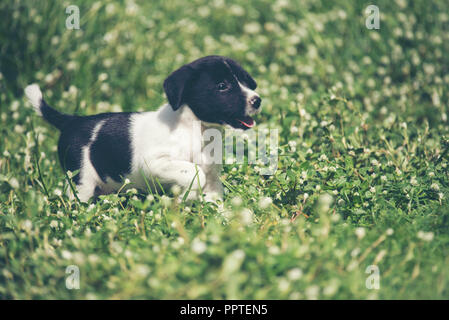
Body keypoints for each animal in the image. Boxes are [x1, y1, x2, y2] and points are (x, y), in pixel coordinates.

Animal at [24, 54, 260, 201]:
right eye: (222, 86)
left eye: (246, 82)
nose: (257, 100)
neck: (195, 130)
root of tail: (71, 121)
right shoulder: (154, 163)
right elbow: (193, 172)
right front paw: (190, 193)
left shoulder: (212, 175)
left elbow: (213, 192)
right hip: (81, 180)